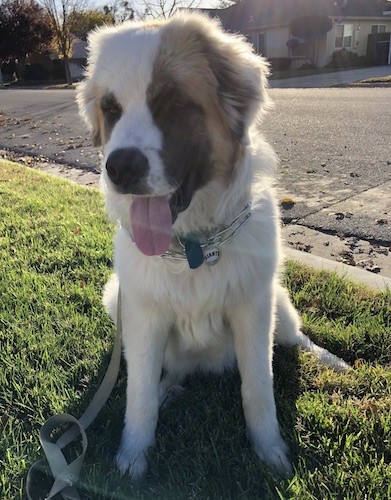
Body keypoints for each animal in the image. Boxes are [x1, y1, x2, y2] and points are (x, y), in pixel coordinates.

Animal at [76, 11, 350, 480]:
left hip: (278, 302)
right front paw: (132, 458)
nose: (120, 168)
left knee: (295, 338)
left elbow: (258, 389)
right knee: (169, 371)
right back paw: (170, 387)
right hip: (116, 299)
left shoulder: (253, 312)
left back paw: (332, 360)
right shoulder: (141, 316)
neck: (193, 247)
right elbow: (139, 396)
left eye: (172, 104)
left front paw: (270, 451)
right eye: (111, 110)